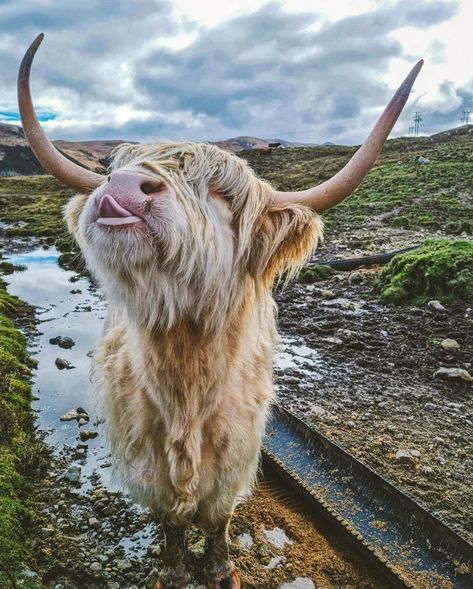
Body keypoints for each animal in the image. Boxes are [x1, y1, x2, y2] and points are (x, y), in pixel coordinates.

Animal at [17, 33, 420, 588]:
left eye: (222, 193)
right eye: (116, 170)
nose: (120, 188)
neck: (185, 377)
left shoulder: (235, 453)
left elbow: (217, 517)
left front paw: (219, 570)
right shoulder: (145, 456)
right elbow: (169, 519)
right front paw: (171, 570)